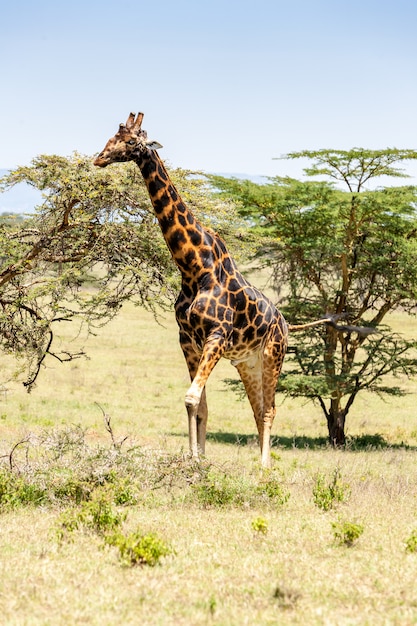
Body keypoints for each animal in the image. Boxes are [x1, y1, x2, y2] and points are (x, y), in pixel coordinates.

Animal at [93, 112, 306, 466]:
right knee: (258, 408)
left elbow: (192, 397)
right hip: (247, 363)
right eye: (112, 136)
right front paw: (196, 460)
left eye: (132, 141)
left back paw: (264, 466)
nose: (99, 158)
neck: (194, 268)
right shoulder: (187, 339)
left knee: (269, 410)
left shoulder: (216, 336)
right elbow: (199, 404)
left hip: (273, 355)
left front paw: (195, 461)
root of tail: (285, 322)